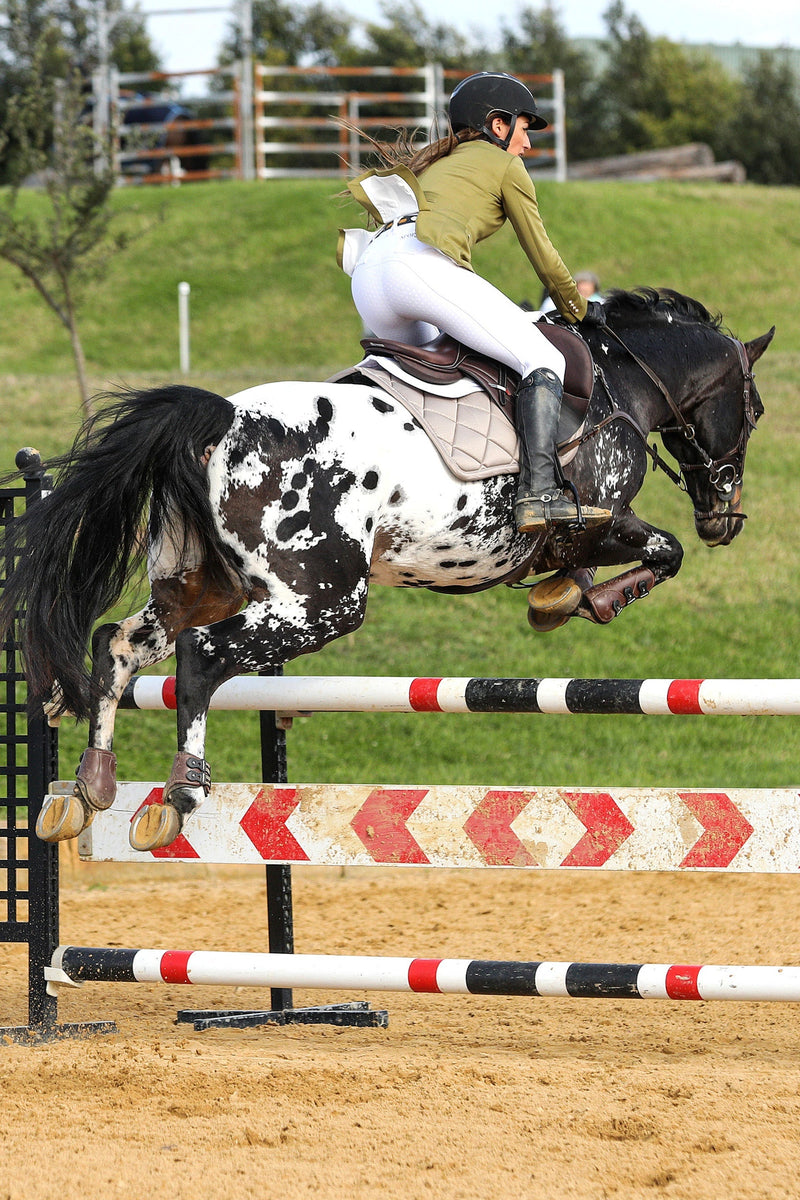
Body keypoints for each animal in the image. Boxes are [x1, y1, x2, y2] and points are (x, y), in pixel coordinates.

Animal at [1, 288, 777, 854]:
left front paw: (560, 596)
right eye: (755, 411)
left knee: (117, 645)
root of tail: (221, 419)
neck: (621, 379)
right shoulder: (596, 519)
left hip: (202, 585)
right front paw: (575, 599)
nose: (727, 517)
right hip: (323, 601)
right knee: (202, 656)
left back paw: (87, 790)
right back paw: (180, 795)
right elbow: (662, 551)